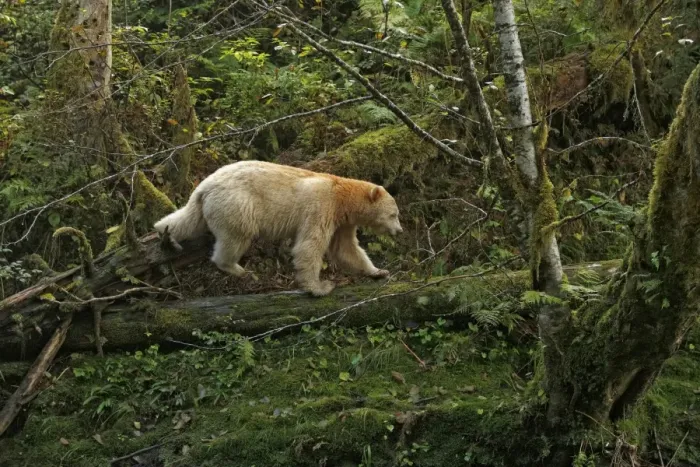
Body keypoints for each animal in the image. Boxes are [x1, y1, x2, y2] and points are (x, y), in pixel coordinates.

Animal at [153, 160, 403, 296]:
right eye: (394, 214)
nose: (400, 231)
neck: (341, 195)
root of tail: (205, 185)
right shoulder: (321, 207)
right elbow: (309, 246)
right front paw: (320, 287)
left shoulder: (342, 221)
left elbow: (346, 249)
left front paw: (378, 271)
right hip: (237, 205)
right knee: (236, 237)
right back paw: (239, 270)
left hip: (206, 204)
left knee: (188, 220)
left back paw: (167, 235)